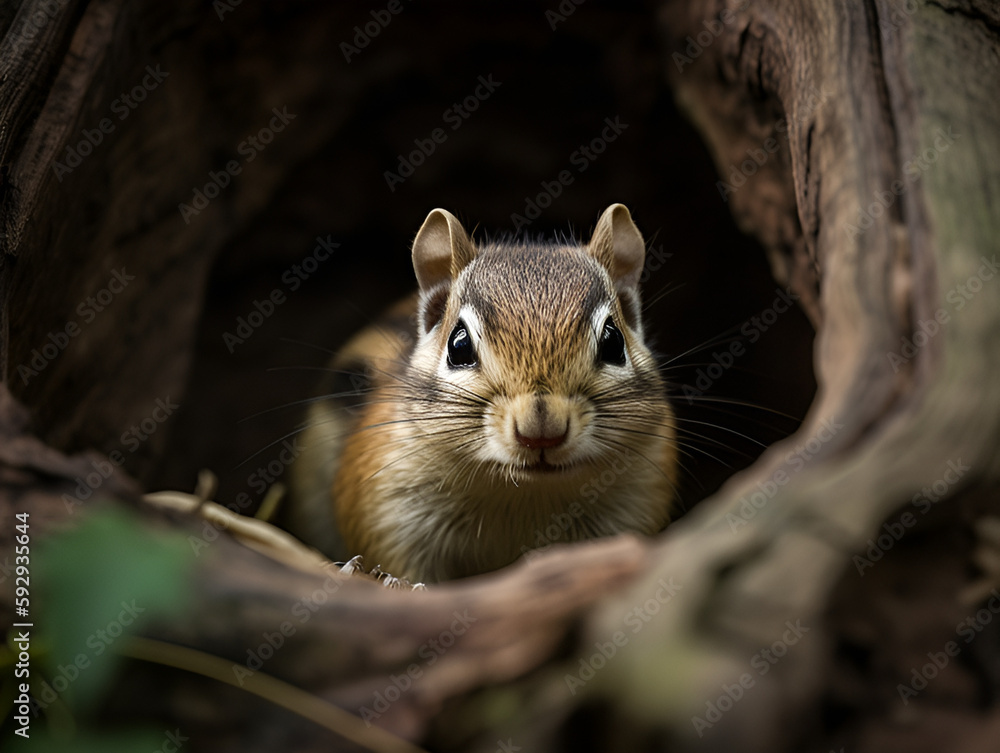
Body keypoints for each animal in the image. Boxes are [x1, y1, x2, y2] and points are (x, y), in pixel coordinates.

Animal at [286, 204, 678, 582]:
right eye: (458, 346)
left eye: (613, 342)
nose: (542, 432)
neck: (522, 495)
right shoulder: (385, 505)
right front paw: (386, 579)